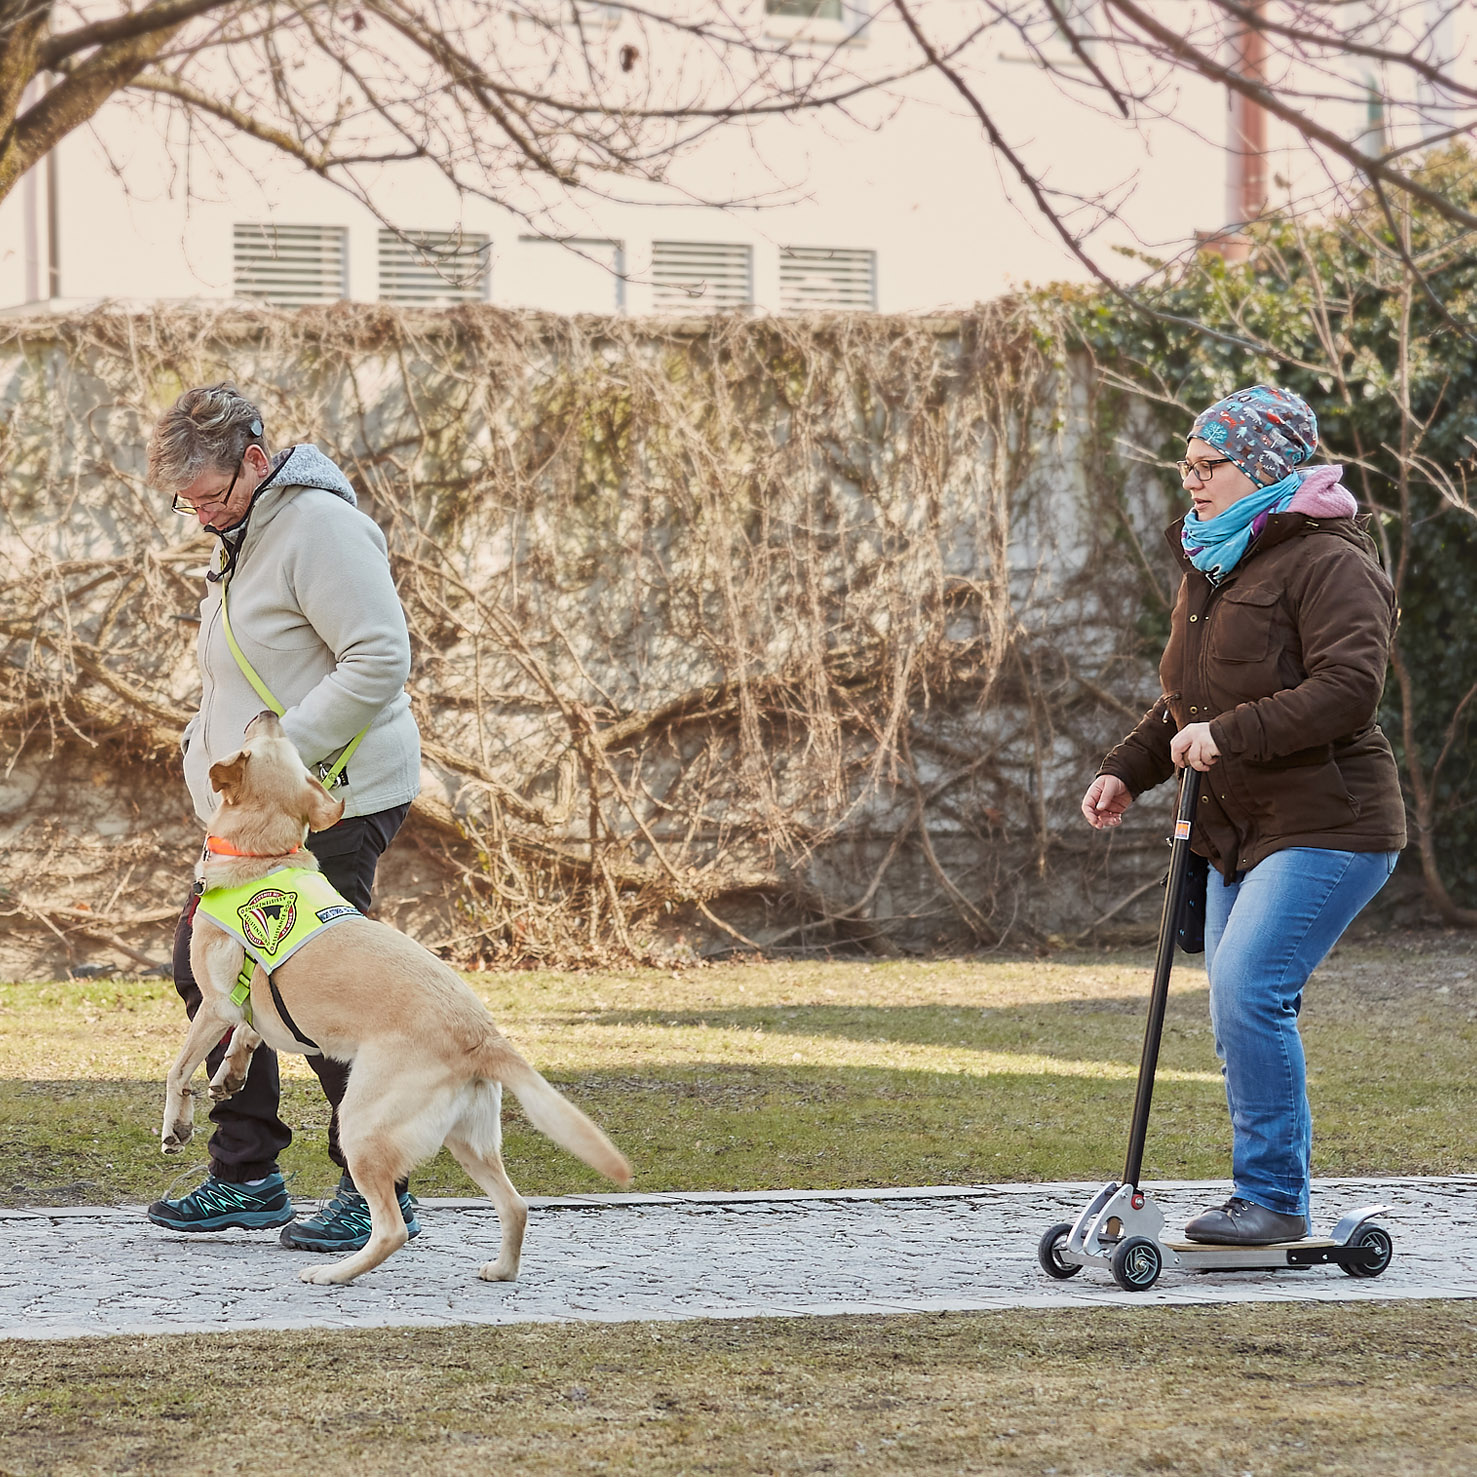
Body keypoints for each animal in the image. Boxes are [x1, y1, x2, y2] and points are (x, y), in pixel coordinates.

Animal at [163, 711, 635, 1282]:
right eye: (284, 744)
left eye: (259, 740)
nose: (270, 714)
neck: (266, 852)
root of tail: (484, 1036)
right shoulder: (246, 1007)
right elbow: (249, 1038)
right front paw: (230, 1075)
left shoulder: (215, 1004)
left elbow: (178, 1071)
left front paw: (176, 1126)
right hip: (467, 1141)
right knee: (516, 1205)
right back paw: (500, 1270)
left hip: (362, 1126)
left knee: (392, 1229)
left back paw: (333, 1272)